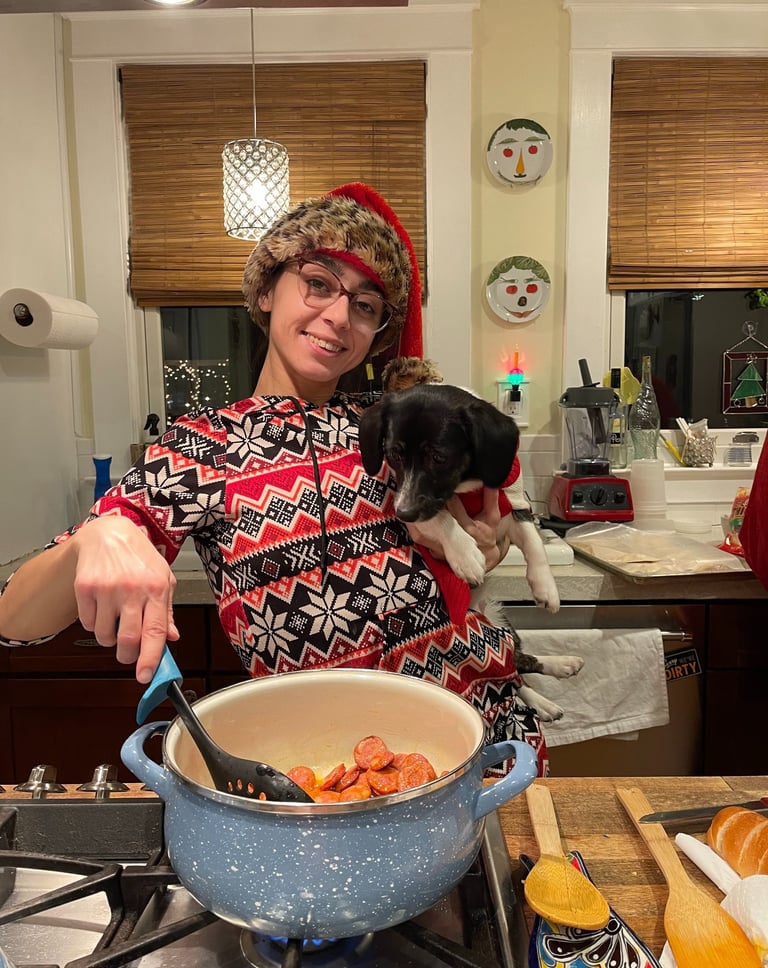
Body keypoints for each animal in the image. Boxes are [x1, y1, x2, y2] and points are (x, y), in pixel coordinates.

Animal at [358, 360, 583, 721]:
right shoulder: (418, 509)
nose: (404, 512)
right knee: (515, 675)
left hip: (505, 623)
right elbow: (442, 517)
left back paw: (560, 668)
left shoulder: (510, 509)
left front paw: (546, 588)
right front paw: (466, 556)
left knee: (519, 666)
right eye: (393, 454)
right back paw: (548, 693)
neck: (466, 486)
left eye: (438, 457)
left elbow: (534, 542)